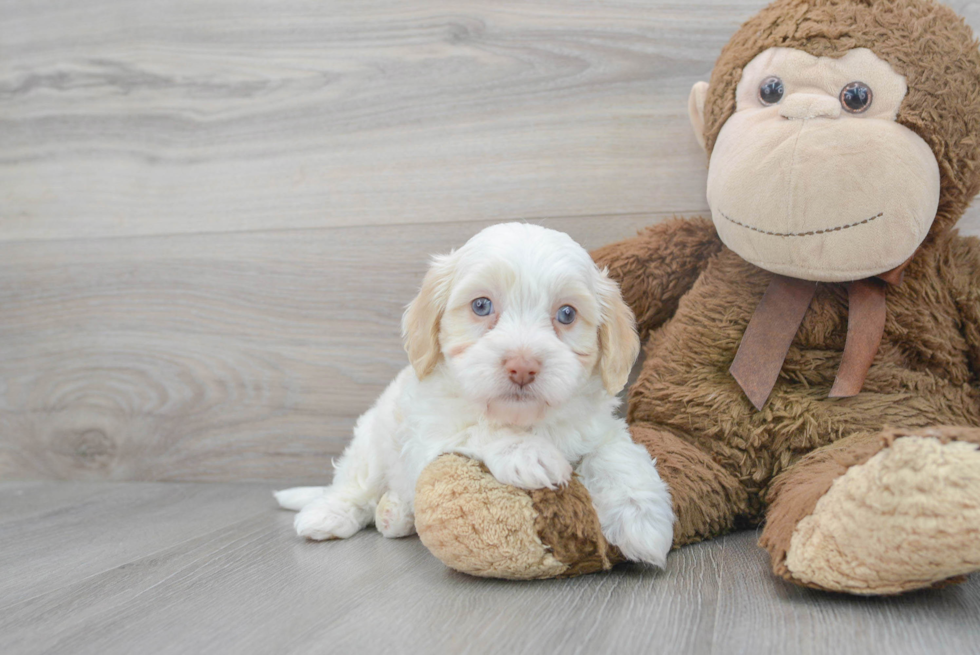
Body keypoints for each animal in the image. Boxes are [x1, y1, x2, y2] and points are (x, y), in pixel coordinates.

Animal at [274, 223, 672, 568]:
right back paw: (329, 514)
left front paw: (642, 517)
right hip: (372, 440)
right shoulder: (430, 433)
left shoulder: (599, 428)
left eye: (567, 314)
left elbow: (617, 455)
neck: (526, 419)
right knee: (355, 483)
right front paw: (527, 453)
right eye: (481, 306)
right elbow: (478, 428)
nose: (523, 366)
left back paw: (395, 513)